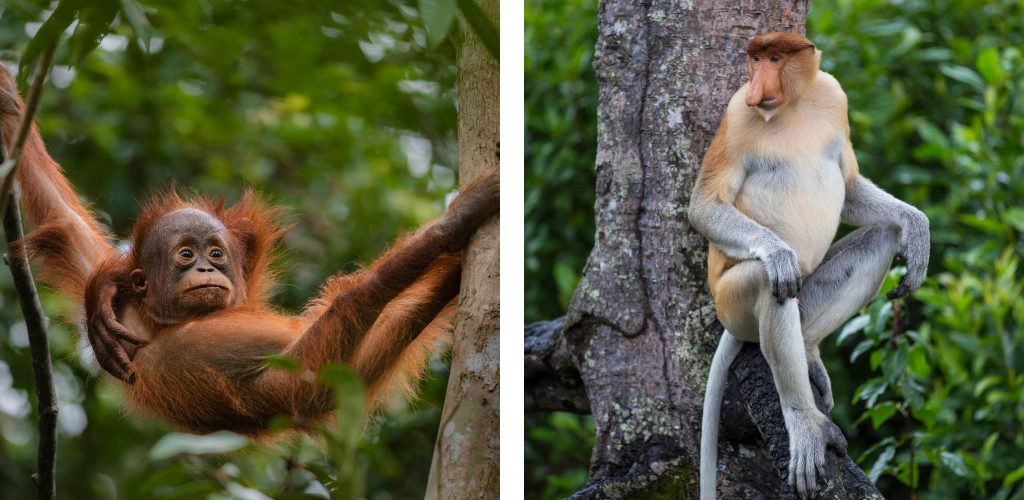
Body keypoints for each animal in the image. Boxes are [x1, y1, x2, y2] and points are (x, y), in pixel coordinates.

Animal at [0, 65, 499, 437]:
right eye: (186, 255)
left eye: (216, 254)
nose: (207, 268)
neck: (159, 321)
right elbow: (307, 378)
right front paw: (454, 222)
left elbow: (63, 218)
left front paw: (7, 94)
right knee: (357, 304)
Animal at [688, 33, 930, 499]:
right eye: (755, 59)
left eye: (775, 58)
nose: (757, 87)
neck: (793, 104)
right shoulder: (736, 113)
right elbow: (704, 206)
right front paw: (778, 252)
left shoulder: (835, 96)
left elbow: (849, 184)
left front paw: (916, 224)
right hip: (732, 304)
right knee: (768, 284)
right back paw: (806, 424)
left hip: (809, 296)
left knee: (880, 237)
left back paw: (810, 350)